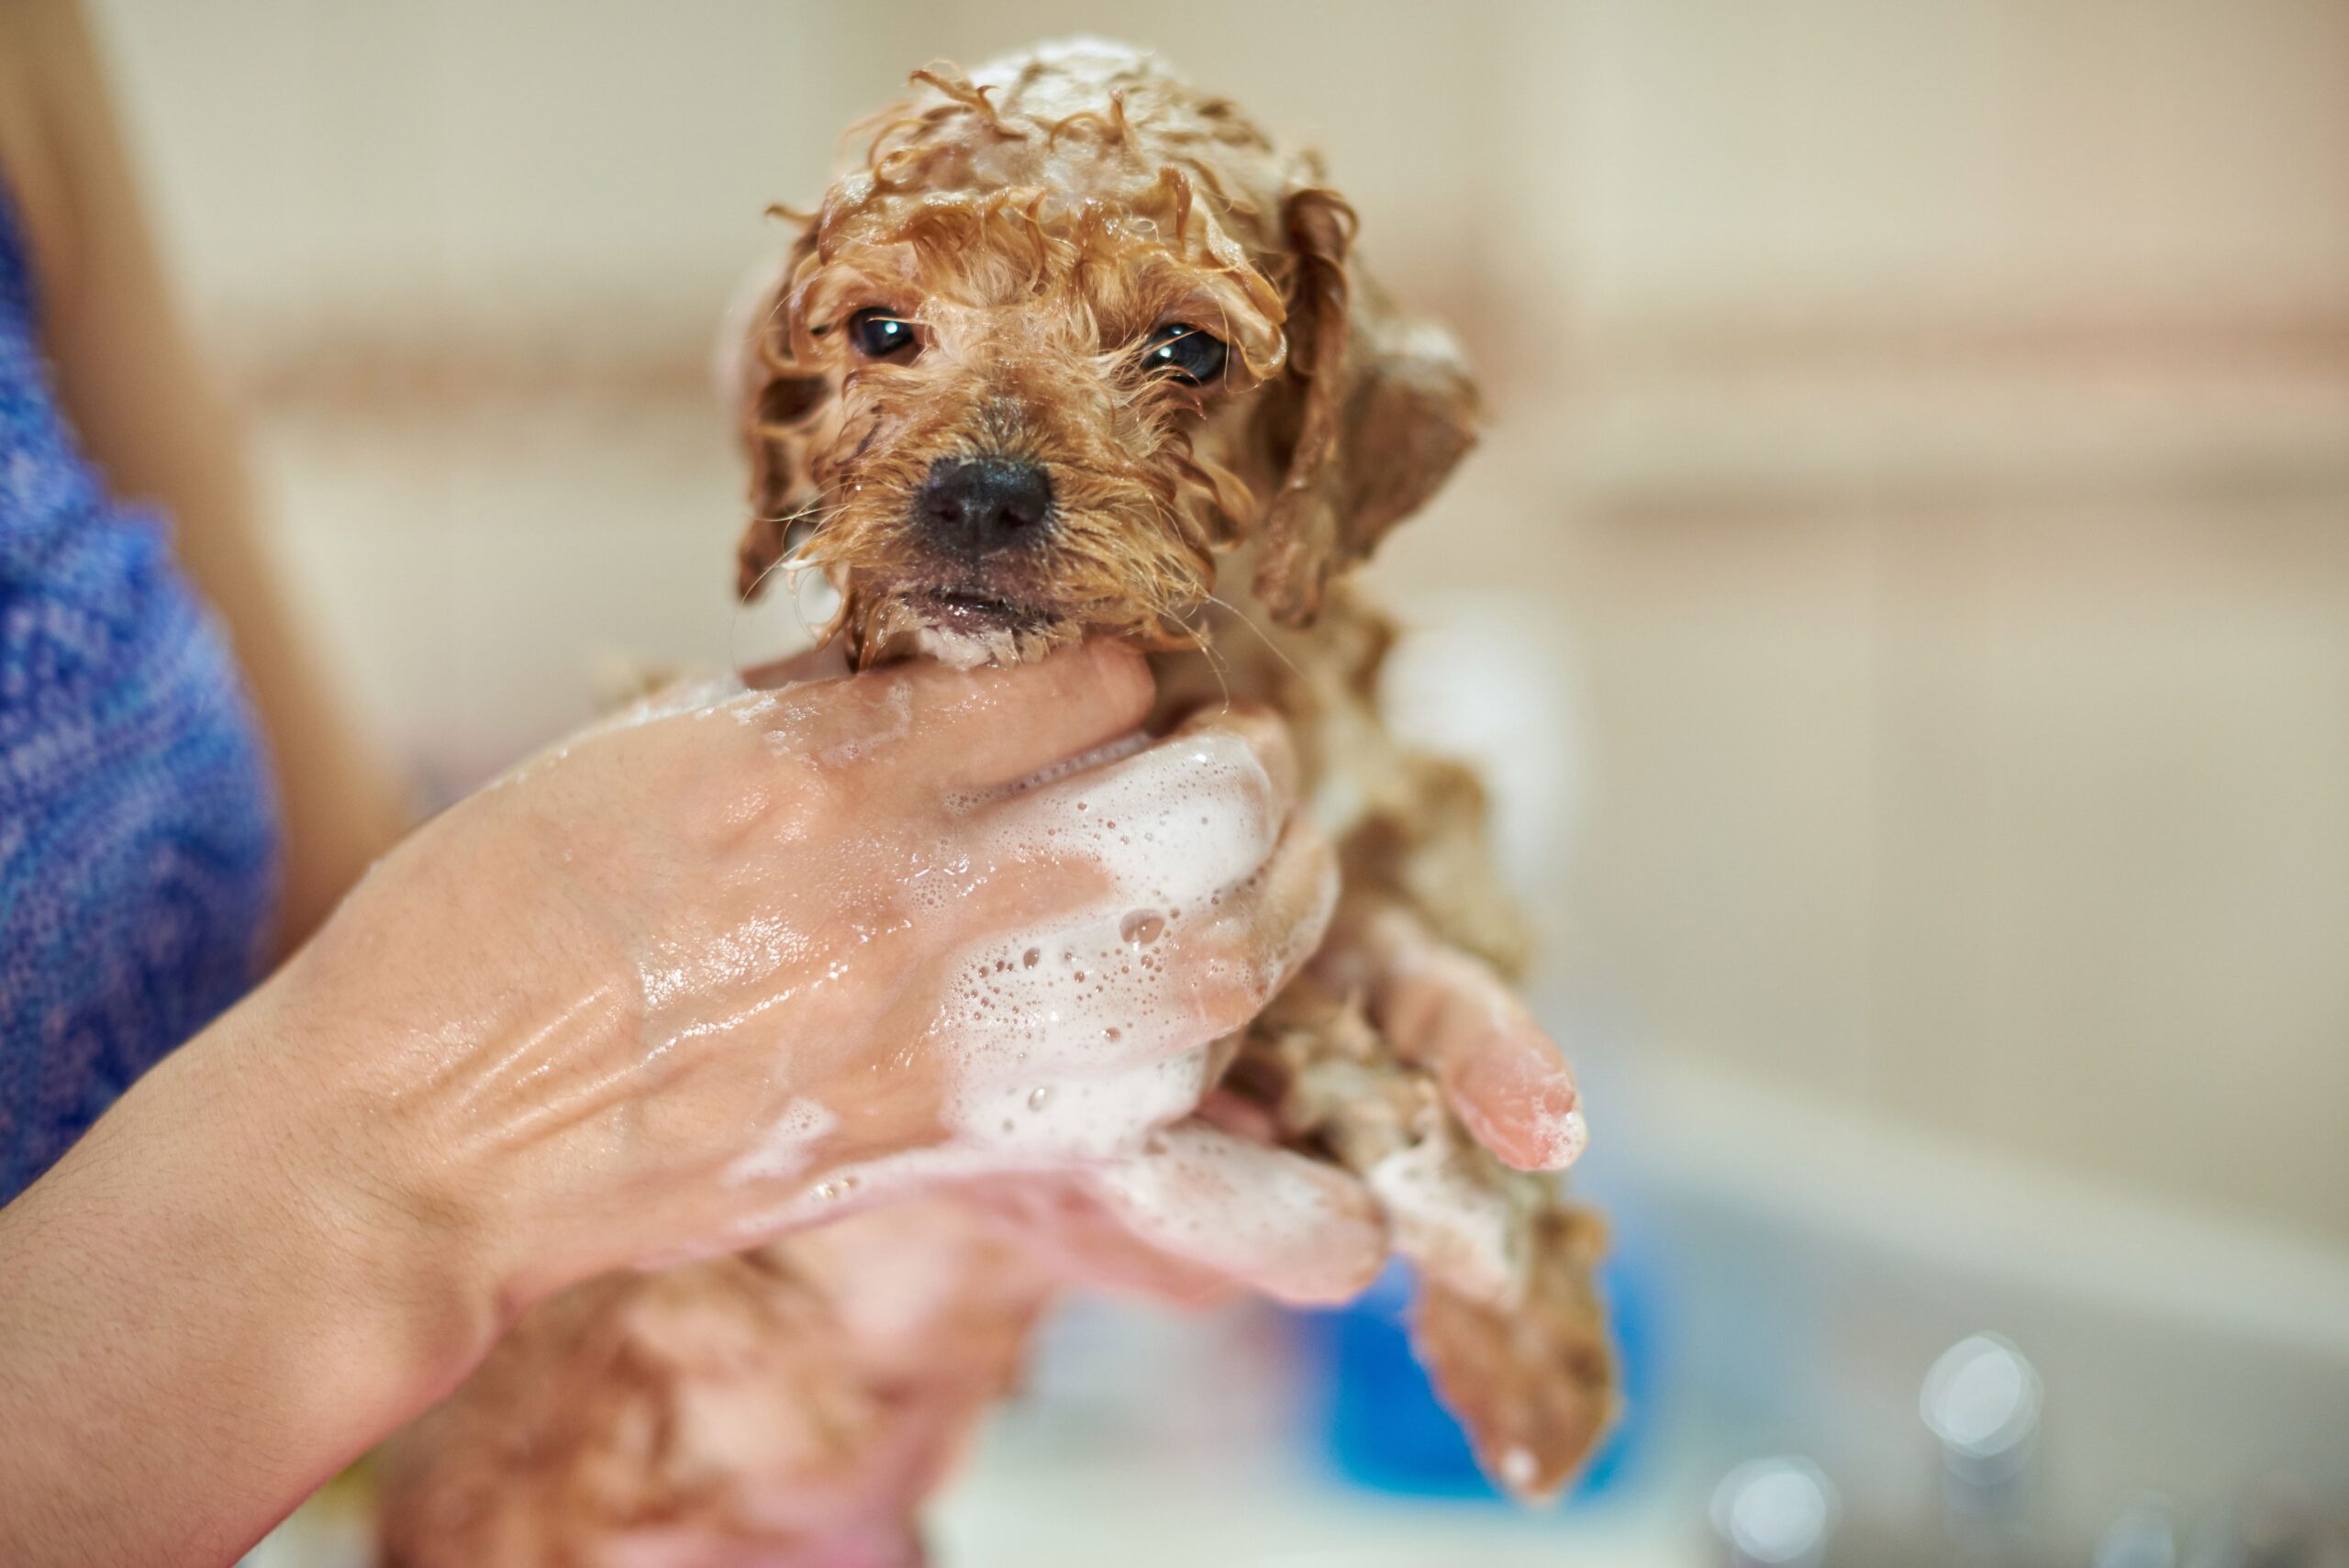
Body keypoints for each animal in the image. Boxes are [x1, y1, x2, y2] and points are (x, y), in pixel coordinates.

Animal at [380, 36, 1616, 1568]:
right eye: (881, 329)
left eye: (1189, 348)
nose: (976, 496)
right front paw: (1410, 1147)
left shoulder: (1385, 827)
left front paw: (1538, 1353)